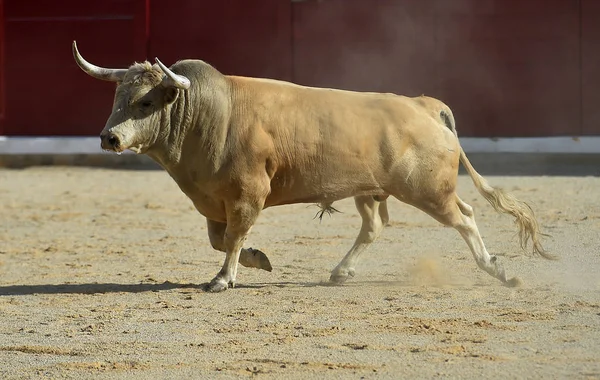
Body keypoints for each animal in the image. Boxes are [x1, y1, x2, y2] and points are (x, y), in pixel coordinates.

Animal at [74, 40, 552, 290]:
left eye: (146, 101)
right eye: (117, 97)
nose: (109, 138)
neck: (209, 115)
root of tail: (425, 105)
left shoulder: (249, 194)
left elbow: (232, 237)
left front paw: (223, 279)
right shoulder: (214, 200)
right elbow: (221, 239)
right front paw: (256, 260)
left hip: (428, 191)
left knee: (465, 217)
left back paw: (497, 270)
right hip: (370, 191)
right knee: (374, 226)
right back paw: (341, 271)